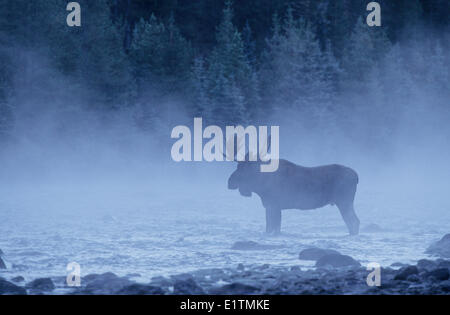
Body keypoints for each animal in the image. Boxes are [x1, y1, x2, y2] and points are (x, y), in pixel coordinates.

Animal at [227, 138, 360, 235]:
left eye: (246, 168)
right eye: (238, 166)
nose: (229, 182)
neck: (260, 186)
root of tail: (356, 176)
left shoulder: (274, 205)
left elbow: (272, 228)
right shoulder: (271, 206)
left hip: (344, 202)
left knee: (354, 221)